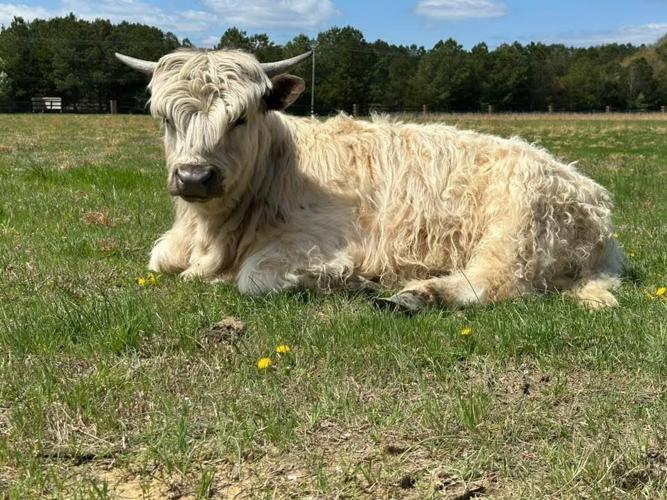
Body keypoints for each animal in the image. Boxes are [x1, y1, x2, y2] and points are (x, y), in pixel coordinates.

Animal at [115, 48, 624, 312]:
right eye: (165, 118)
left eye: (240, 117)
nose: (194, 176)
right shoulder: (173, 248)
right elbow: (158, 260)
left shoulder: (320, 240)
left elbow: (255, 277)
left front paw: (345, 281)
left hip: (515, 227)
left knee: (494, 281)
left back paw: (415, 295)